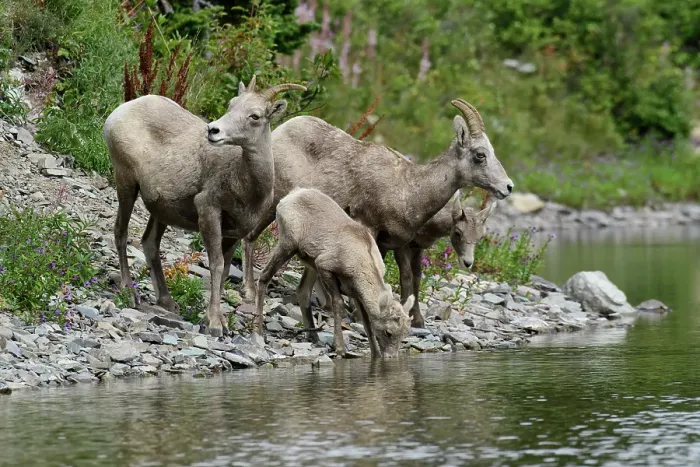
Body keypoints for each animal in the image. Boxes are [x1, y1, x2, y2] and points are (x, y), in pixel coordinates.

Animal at [103, 76, 306, 336]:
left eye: (255, 116)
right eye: (231, 104)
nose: (213, 130)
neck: (245, 183)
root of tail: (123, 110)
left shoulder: (235, 231)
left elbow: (225, 270)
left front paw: (214, 319)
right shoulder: (209, 212)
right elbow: (216, 265)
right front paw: (215, 324)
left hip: (160, 209)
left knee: (150, 243)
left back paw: (167, 301)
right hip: (126, 184)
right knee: (121, 231)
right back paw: (130, 292)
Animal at [242, 98, 513, 311]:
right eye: (480, 155)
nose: (508, 187)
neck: (408, 188)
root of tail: (281, 131)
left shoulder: (389, 244)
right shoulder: (369, 228)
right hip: (274, 201)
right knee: (250, 236)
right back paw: (248, 290)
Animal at [255, 187, 412, 358]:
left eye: (404, 334)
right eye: (389, 332)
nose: (391, 357)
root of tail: (292, 195)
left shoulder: (356, 294)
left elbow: (366, 323)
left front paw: (375, 354)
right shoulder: (324, 266)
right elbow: (338, 303)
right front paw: (340, 348)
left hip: (308, 263)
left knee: (303, 290)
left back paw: (314, 337)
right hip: (288, 245)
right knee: (264, 277)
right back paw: (259, 331)